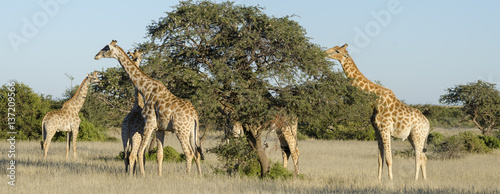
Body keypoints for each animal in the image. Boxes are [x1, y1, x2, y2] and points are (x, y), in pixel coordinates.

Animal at [94, 39, 203, 176]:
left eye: (106, 48)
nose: (96, 56)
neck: (146, 90)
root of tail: (194, 116)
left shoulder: (149, 124)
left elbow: (140, 152)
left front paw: (143, 175)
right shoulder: (160, 129)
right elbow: (159, 154)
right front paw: (159, 176)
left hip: (181, 130)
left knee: (188, 153)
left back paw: (187, 176)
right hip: (192, 131)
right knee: (197, 153)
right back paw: (199, 176)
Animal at [324, 44, 430, 180]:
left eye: (337, 51)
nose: (324, 53)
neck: (375, 100)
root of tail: (428, 124)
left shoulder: (385, 130)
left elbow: (389, 159)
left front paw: (391, 181)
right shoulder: (377, 132)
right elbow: (380, 160)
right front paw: (379, 180)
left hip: (418, 136)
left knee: (418, 158)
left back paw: (415, 180)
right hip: (413, 137)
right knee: (423, 157)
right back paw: (424, 180)